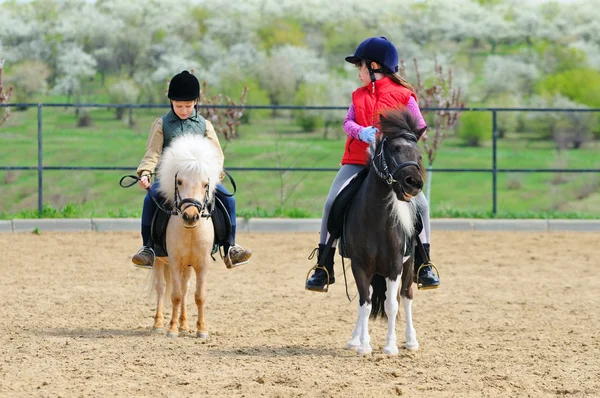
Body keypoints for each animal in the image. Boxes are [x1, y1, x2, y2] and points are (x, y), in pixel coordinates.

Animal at [152, 134, 223, 338]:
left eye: (205, 184)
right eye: (180, 181)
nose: (190, 216)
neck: (190, 233)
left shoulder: (202, 264)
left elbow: (199, 296)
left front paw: (202, 329)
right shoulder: (175, 262)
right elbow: (174, 296)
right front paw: (172, 329)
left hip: (188, 266)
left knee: (185, 289)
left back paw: (184, 325)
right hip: (159, 261)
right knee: (161, 288)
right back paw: (158, 324)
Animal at [342, 107, 426, 356]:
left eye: (419, 154)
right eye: (394, 149)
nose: (414, 183)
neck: (376, 219)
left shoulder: (395, 265)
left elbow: (392, 305)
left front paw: (390, 346)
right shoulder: (360, 265)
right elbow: (365, 302)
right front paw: (364, 345)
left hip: (409, 265)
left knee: (406, 296)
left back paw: (411, 341)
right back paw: (355, 339)